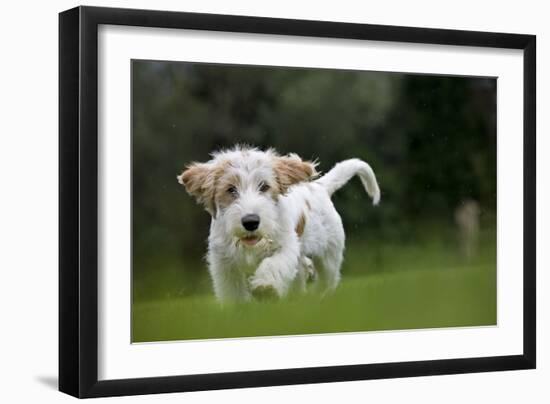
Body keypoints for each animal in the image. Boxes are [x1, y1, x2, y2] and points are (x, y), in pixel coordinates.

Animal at [179, 147, 382, 302]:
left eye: (264, 186)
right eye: (231, 189)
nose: (251, 222)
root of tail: (319, 187)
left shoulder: (286, 246)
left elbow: (274, 264)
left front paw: (265, 287)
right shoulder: (224, 263)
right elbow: (233, 293)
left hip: (329, 255)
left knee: (326, 279)